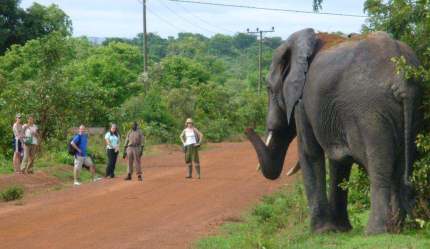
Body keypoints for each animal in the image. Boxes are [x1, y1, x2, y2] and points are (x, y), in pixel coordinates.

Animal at [247, 28, 422, 234]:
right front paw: (340, 229)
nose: (248, 129)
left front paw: (320, 231)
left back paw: (375, 231)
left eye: (268, 88)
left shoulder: (302, 101)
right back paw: (398, 228)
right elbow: (339, 161)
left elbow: (310, 152)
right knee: (402, 163)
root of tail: (402, 76)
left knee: (378, 165)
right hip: (415, 107)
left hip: (370, 111)